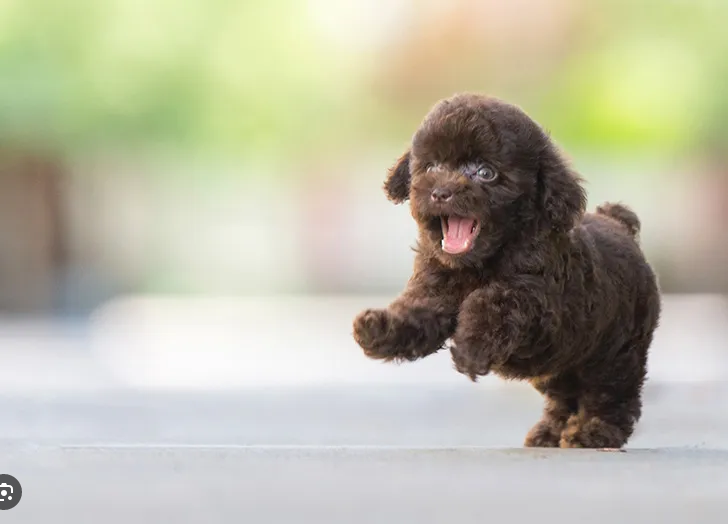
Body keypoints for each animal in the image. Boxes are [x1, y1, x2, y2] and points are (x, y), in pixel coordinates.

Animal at [350, 92, 664, 448]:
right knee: (564, 393)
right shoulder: (434, 288)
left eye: (486, 173)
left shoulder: (537, 301)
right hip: (563, 363)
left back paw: (594, 431)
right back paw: (550, 432)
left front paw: (471, 347)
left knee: (611, 392)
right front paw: (378, 329)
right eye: (432, 167)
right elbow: (416, 311)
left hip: (616, 349)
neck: (478, 262)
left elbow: (489, 302)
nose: (440, 192)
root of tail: (620, 224)